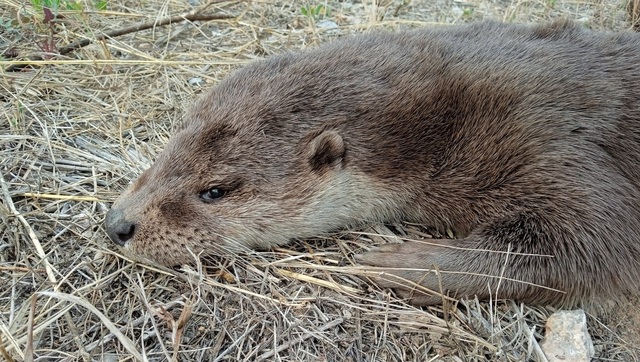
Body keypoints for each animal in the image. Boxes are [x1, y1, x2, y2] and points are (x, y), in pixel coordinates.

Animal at [105, 20, 640, 306]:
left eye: (214, 191)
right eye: (167, 151)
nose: (117, 225)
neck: (442, 118)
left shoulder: (540, 131)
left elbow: (596, 242)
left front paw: (396, 262)